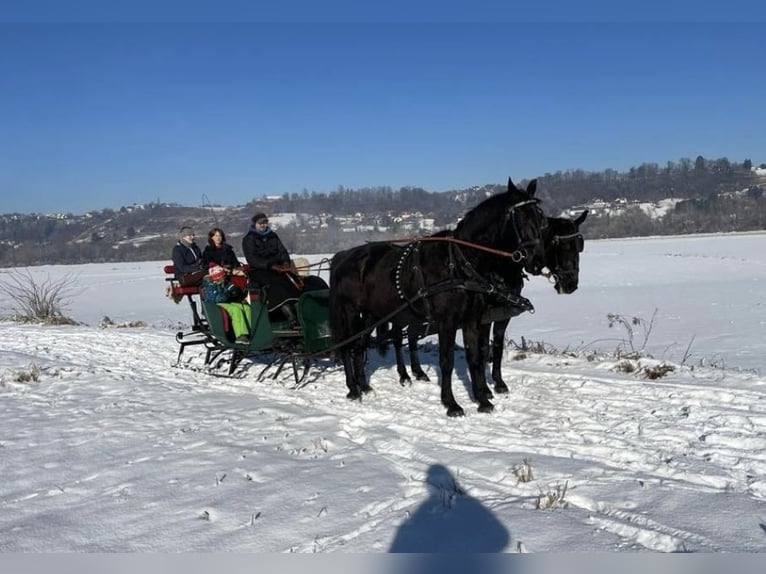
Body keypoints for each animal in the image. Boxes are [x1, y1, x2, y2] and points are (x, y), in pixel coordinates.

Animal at [328, 178, 548, 416]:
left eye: (540, 217)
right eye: (521, 217)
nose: (537, 260)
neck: (459, 263)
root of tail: (343, 256)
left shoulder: (472, 319)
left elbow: (475, 358)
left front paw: (482, 399)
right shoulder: (447, 321)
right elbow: (446, 361)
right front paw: (451, 404)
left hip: (372, 315)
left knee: (361, 346)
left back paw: (364, 385)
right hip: (350, 312)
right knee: (348, 346)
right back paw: (353, 388)